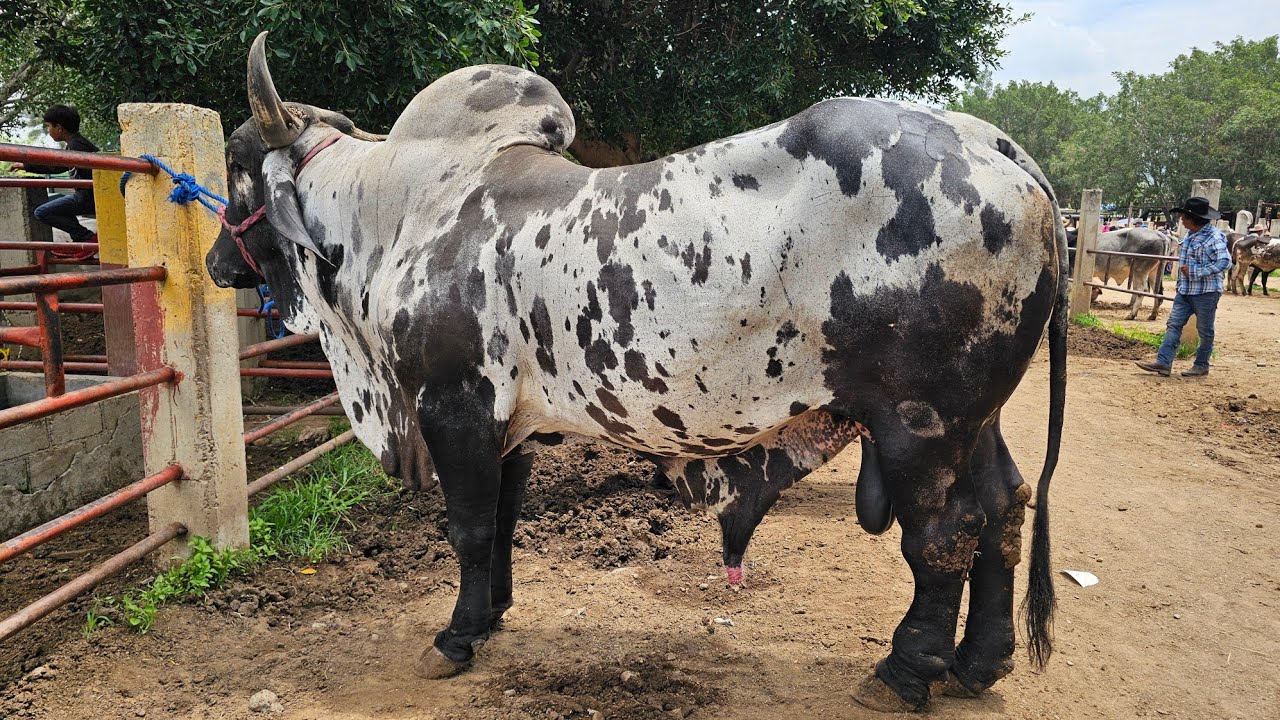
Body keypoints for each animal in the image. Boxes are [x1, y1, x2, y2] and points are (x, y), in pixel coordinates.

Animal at [205, 34, 1067, 712]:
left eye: (238, 163)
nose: (215, 264)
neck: (399, 211)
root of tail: (990, 145)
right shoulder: (510, 423)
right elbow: (503, 521)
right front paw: (491, 616)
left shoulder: (455, 405)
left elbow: (468, 526)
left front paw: (454, 637)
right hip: (976, 420)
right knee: (1004, 507)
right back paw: (979, 663)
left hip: (922, 422)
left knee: (945, 534)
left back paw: (906, 671)